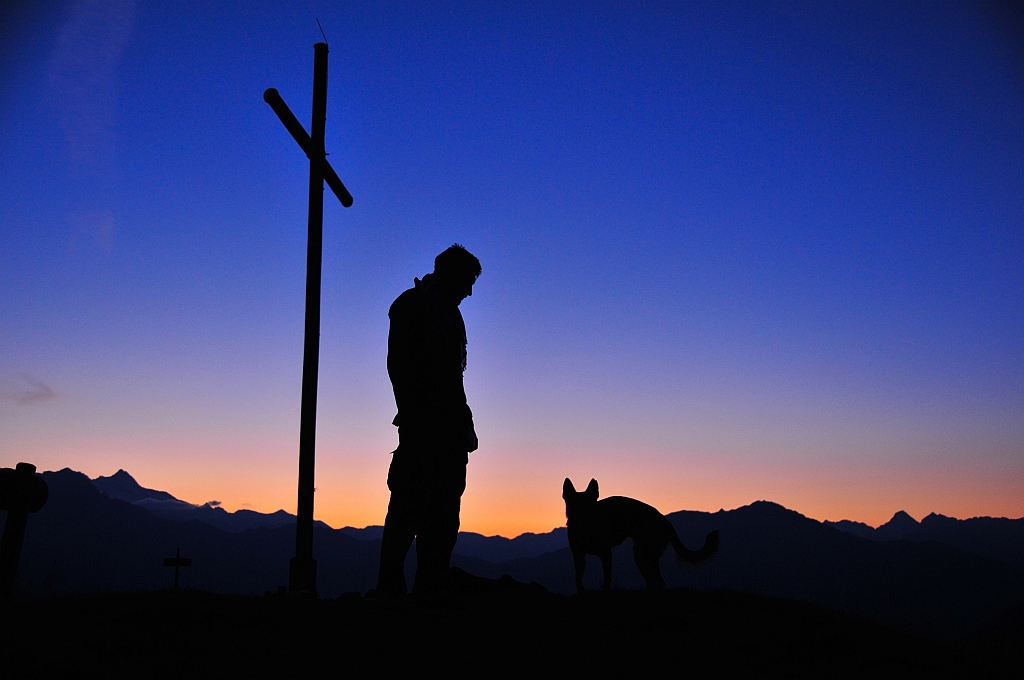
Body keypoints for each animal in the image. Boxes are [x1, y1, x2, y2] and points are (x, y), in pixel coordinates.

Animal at [561, 475, 720, 593]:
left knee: (658, 582)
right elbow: (578, 580)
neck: (586, 528)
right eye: (575, 508)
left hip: (646, 555)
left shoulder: (606, 555)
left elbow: (607, 582)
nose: (584, 519)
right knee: (653, 582)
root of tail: (665, 520)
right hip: (640, 557)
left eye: (591, 507)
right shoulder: (578, 557)